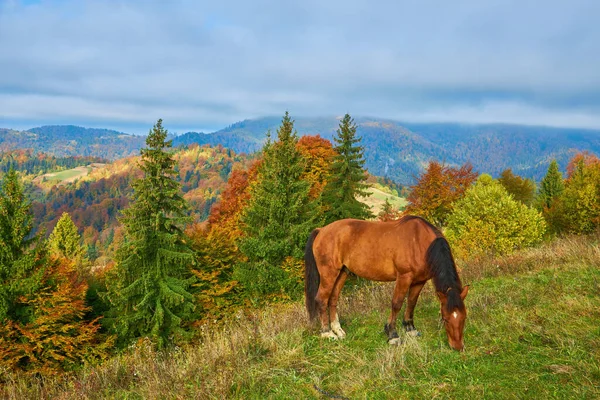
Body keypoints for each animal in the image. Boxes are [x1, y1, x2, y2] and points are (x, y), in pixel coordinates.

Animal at [304, 216, 468, 350]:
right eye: (445, 318)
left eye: (464, 317)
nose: (457, 346)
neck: (420, 242)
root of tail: (321, 230)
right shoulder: (404, 277)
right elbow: (397, 304)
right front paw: (392, 334)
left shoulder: (419, 281)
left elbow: (411, 303)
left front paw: (410, 328)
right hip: (329, 273)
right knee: (321, 299)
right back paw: (327, 333)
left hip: (342, 273)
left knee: (333, 299)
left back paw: (338, 330)